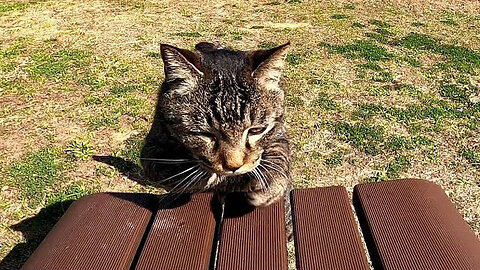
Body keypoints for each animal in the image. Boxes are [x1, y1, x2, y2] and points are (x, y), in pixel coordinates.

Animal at [141, 41, 290, 207]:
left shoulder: (280, 134)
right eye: (205, 134)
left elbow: (279, 156)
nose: (234, 166)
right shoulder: (152, 151)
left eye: (256, 130)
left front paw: (269, 184)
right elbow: (181, 176)